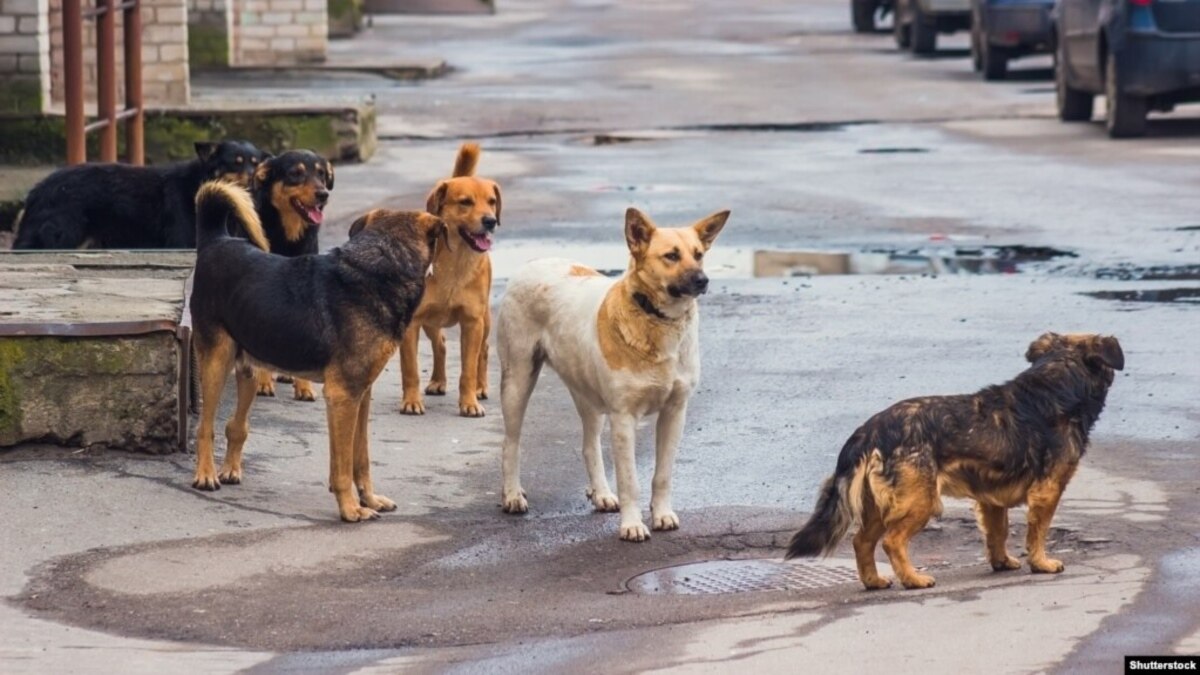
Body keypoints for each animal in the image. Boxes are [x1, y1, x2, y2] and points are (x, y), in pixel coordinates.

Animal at [14, 139, 262, 249]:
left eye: (255, 163)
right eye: (236, 163)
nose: (253, 179)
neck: (199, 183)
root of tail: (37, 190)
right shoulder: (182, 241)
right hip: (60, 236)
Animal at [247, 148, 336, 398]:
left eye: (321, 174)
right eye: (295, 173)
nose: (323, 194)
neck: (288, 236)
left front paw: (303, 387)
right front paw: (263, 382)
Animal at [398, 140, 501, 415]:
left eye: (492, 201)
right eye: (465, 202)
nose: (490, 221)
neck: (455, 263)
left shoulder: (472, 322)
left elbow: (468, 369)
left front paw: (469, 402)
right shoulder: (412, 323)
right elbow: (410, 369)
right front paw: (411, 401)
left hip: (485, 320)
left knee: (483, 351)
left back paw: (480, 387)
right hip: (430, 321)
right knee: (441, 344)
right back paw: (438, 381)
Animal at [492, 207, 724, 538]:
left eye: (699, 254)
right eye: (671, 256)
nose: (703, 280)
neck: (657, 320)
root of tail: (534, 262)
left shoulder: (675, 412)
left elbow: (662, 475)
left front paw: (662, 514)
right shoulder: (624, 418)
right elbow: (630, 481)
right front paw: (632, 525)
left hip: (586, 393)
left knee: (590, 446)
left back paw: (601, 493)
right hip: (517, 382)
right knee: (511, 443)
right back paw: (512, 494)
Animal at [787, 331, 1123, 588]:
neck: (1057, 382)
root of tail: (869, 431)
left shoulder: (991, 499)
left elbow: (998, 533)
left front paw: (1001, 562)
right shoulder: (1048, 491)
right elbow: (1038, 532)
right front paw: (1041, 563)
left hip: (878, 505)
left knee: (861, 542)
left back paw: (874, 581)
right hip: (921, 500)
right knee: (892, 541)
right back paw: (913, 579)